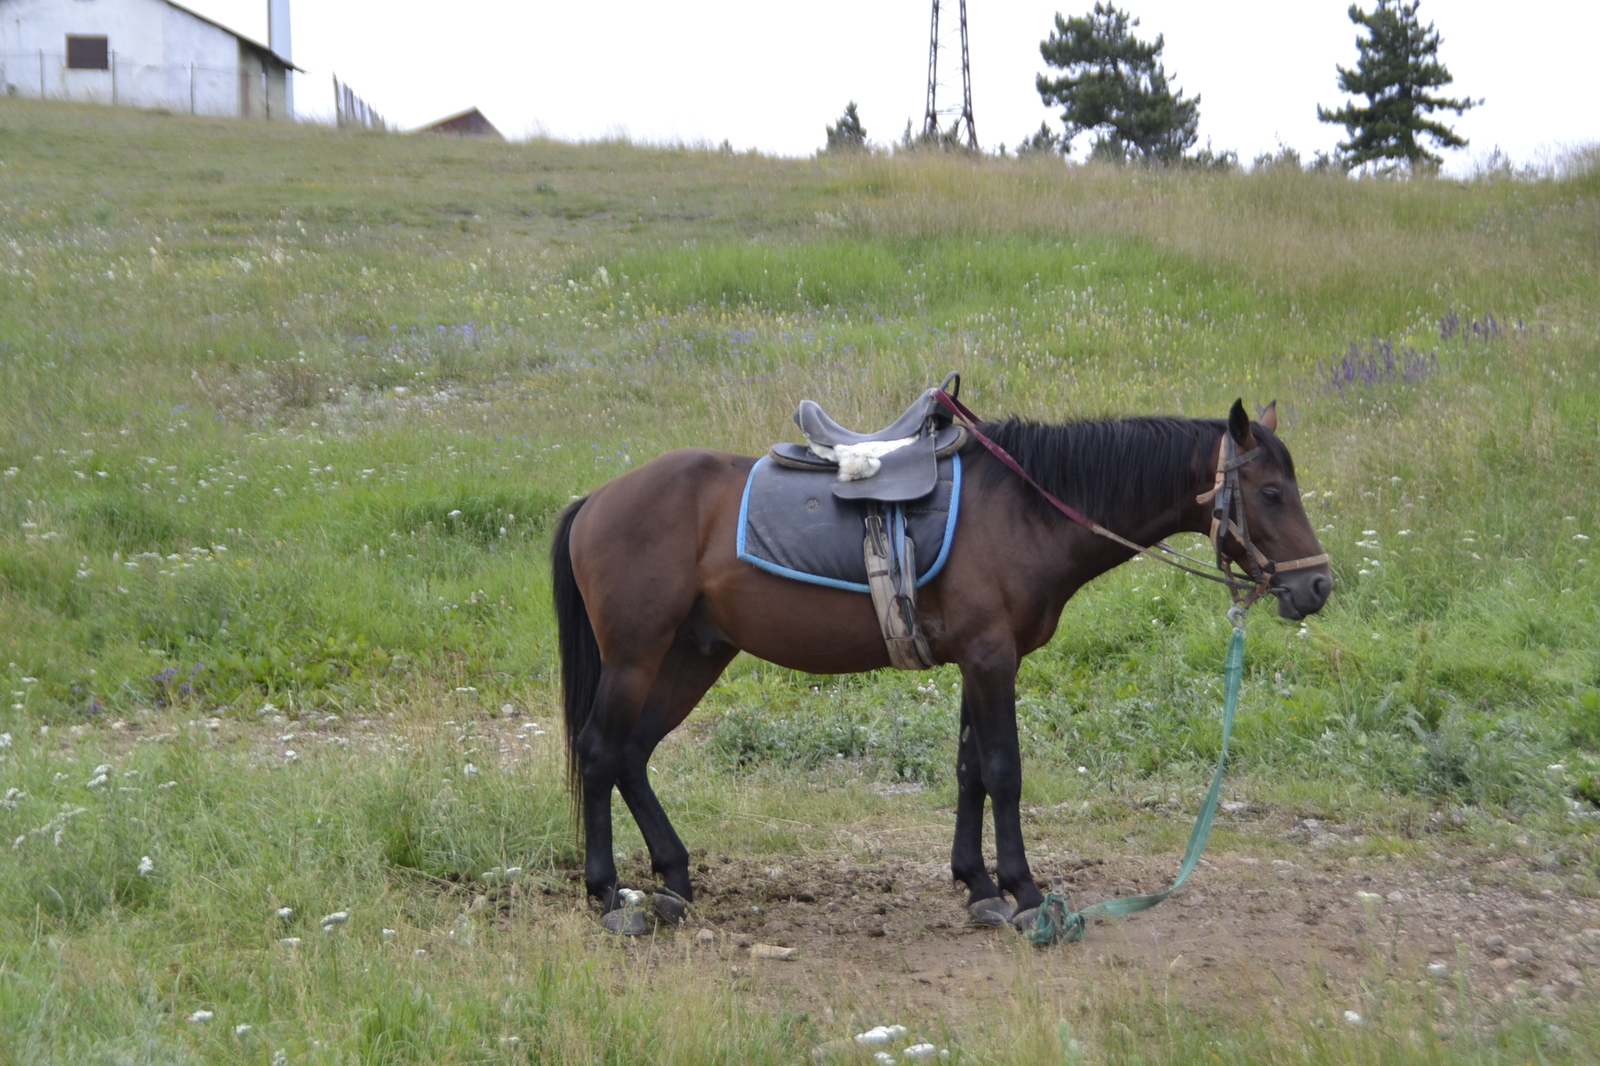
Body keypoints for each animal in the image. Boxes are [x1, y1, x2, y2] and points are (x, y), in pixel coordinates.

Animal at [556, 393, 1331, 928]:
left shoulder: (976, 660)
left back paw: (674, 881)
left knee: (632, 755)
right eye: (1269, 493)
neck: (1027, 511)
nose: (1317, 585)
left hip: (692, 655)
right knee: (600, 752)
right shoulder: (992, 659)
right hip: (637, 655)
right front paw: (1024, 892)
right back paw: (608, 892)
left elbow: (969, 771)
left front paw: (978, 885)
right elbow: (1004, 771)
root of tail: (596, 500)